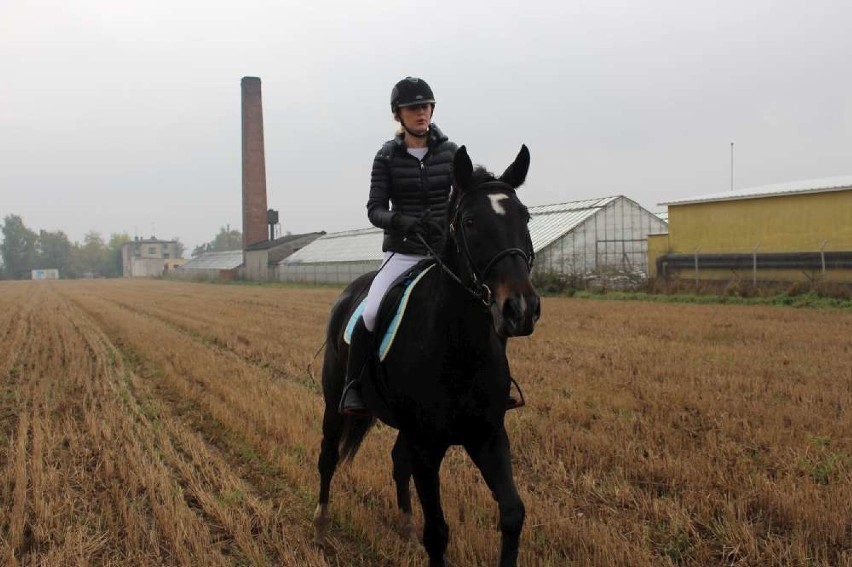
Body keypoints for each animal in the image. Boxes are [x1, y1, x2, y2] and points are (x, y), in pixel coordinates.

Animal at [312, 144, 540, 564]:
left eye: (525, 216)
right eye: (469, 221)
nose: (520, 309)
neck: (459, 348)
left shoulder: (488, 435)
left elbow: (513, 513)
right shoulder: (427, 445)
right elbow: (437, 532)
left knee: (397, 463)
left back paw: (405, 529)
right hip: (335, 401)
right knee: (328, 457)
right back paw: (320, 529)